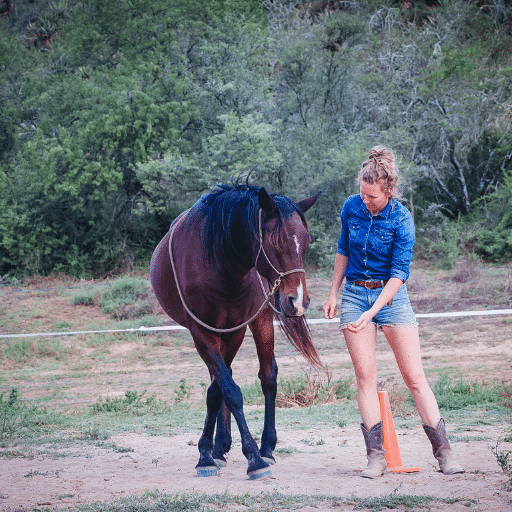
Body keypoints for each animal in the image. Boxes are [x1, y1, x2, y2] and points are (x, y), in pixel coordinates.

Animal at [150, 184, 322, 480]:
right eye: (276, 241)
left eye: (306, 240)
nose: (298, 300)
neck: (220, 264)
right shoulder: (202, 332)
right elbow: (227, 390)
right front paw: (216, 454)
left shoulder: (238, 329)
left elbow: (226, 389)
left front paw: (255, 454)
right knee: (224, 377)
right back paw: (220, 447)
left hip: (256, 322)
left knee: (261, 377)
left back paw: (256, 446)